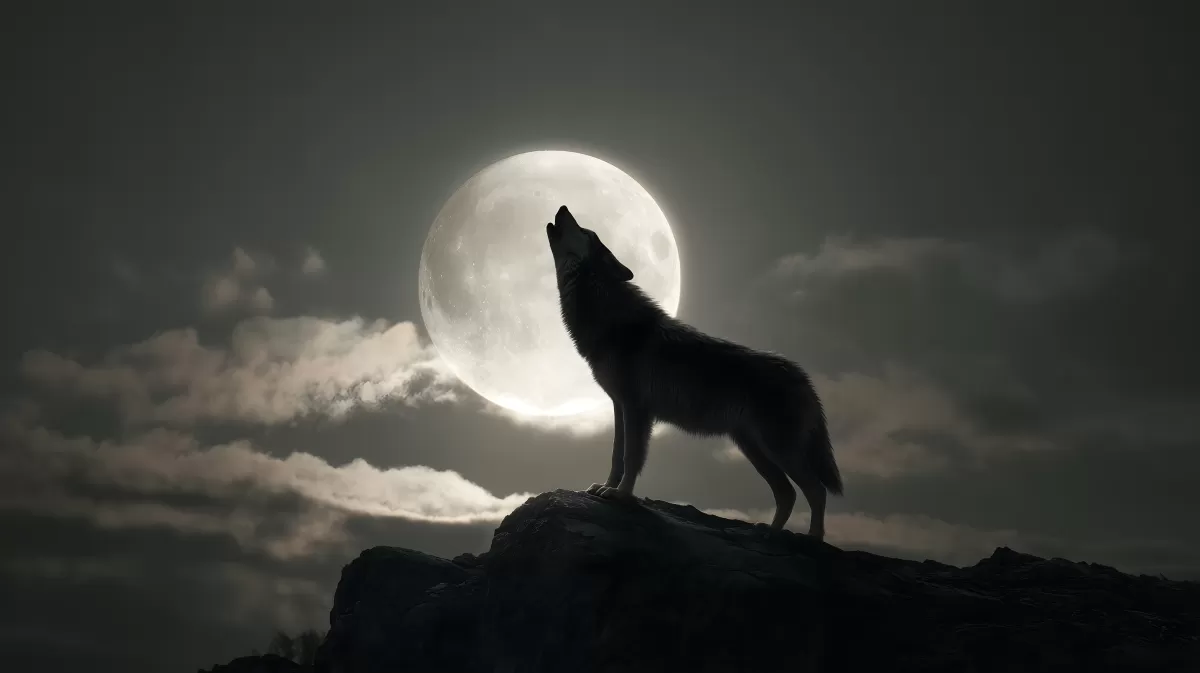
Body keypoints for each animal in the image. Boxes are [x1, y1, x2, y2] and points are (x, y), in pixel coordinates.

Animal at [545, 205, 844, 539]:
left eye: (587, 232)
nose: (562, 208)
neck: (609, 318)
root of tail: (802, 375)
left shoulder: (637, 409)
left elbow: (631, 457)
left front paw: (621, 495)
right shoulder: (619, 407)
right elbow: (616, 455)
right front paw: (607, 488)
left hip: (778, 449)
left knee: (816, 491)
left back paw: (813, 539)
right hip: (755, 449)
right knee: (787, 493)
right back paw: (768, 532)